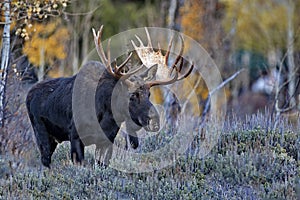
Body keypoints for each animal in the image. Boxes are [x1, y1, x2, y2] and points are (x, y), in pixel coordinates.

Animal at [26, 25, 195, 168]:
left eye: (149, 94)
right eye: (132, 95)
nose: (154, 121)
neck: (105, 116)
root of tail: (29, 94)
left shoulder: (107, 141)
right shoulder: (75, 137)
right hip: (40, 132)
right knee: (45, 161)